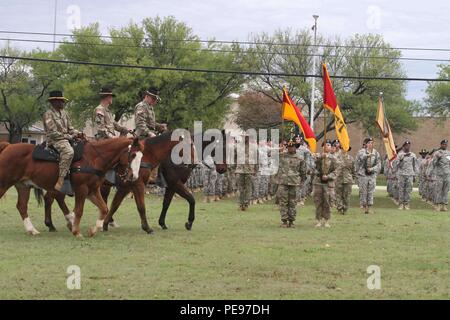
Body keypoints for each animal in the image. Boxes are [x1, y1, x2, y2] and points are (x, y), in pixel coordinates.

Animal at [0, 136, 142, 236]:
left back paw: (32, 230)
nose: (134, 176)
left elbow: (104, 208)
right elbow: (79, 210)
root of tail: (8, 146)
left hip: (23, 186)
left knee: (22, 206)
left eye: (141, 156)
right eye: (133, 155)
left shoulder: (93, 190)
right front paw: (76, 231)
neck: (93, 158)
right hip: (4, 184)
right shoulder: (81, 189)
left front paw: (93, 230)